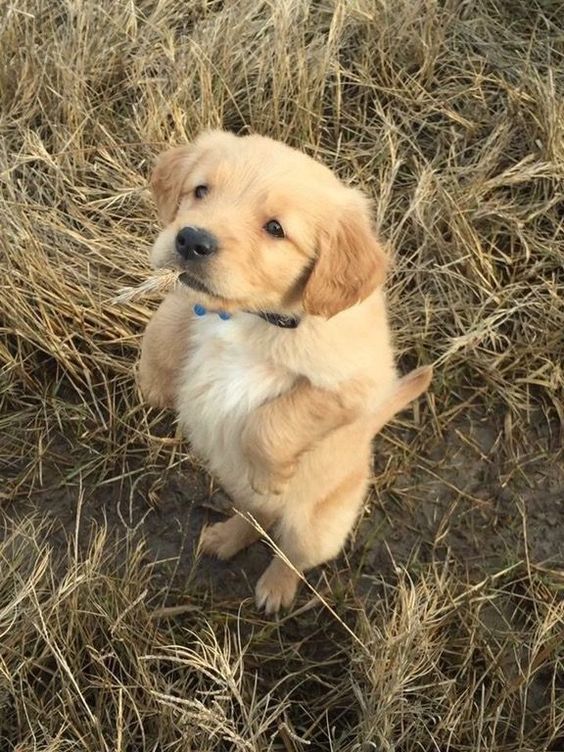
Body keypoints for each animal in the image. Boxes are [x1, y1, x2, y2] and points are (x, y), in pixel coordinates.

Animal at [139, 131, 430, 612]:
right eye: (201, 190)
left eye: (275, 229)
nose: (191, 240)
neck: (251, 317)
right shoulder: (193, 303)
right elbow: (164, 322)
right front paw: (154, 383)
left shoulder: (356, 389)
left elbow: (272, 422)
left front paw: (272, 474)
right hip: (239, 493)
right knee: (255, 516)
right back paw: (223, 538)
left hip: (315, 529)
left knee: (290, 553)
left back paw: (275, 590)